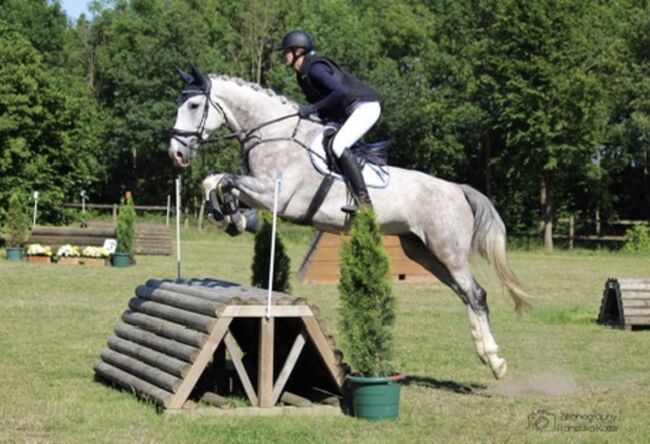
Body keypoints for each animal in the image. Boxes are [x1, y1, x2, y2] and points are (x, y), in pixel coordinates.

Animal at [170, 65, 528, 378]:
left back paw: (496, 361)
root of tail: (457, 189)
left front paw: (229, 216)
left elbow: (220, 179)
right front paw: (231, 218)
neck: (273, 133)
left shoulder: (277, 195)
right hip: (423, 251)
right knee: (464, 292)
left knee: (476, 293)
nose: (176, 153)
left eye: (193, 105)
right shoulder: (260, 189)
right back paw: (485, 354)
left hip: (447, 249)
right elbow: (219, 183)